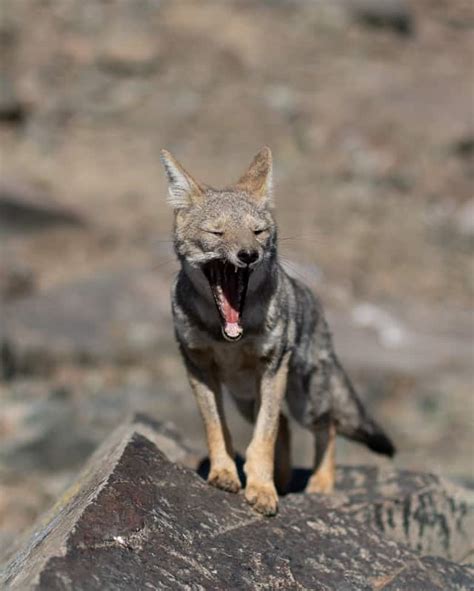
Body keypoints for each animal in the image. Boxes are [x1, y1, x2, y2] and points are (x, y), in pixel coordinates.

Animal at [161, 148, 394, 520]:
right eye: (217, 232)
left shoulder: (272, 367)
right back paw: (283, 480)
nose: (248, 255)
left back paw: (320, 484)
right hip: (245, 398)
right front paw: (225, 473)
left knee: (325, 426)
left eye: (257, 232)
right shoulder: (197, 366)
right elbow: (217, 428)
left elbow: (263, 437)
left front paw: (261, 490)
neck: (228, 336)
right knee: (284, 423)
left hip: (305, 402)